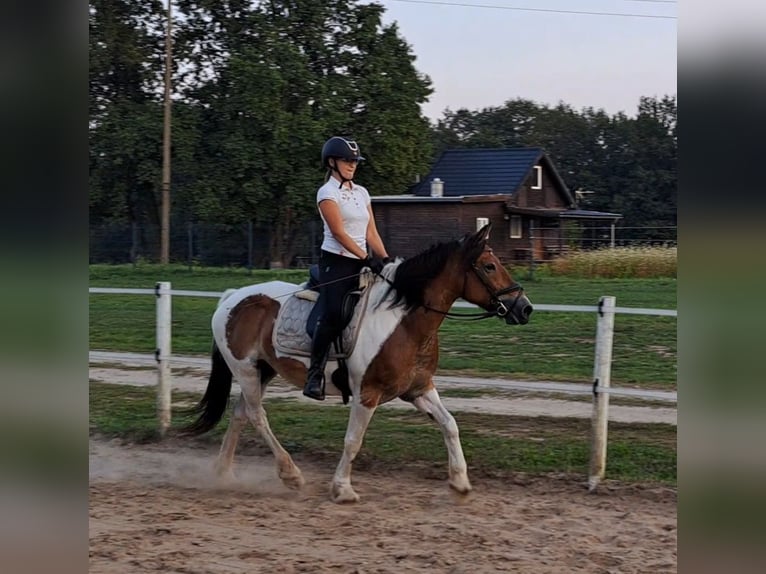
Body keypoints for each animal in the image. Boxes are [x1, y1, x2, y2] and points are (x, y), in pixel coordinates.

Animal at [186, 224, 536, 504]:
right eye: (489, 266)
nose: (525, 308)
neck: (403, 321)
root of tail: (233, 297)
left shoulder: (419, 388)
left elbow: (450, 425)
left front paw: (460, 483)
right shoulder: (368, 393)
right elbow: (353, 441)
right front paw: (342, 489)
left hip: (263, 370)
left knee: (241, 413)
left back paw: (224, 473)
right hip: (245, 370)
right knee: (258, 416)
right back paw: (290, 474)